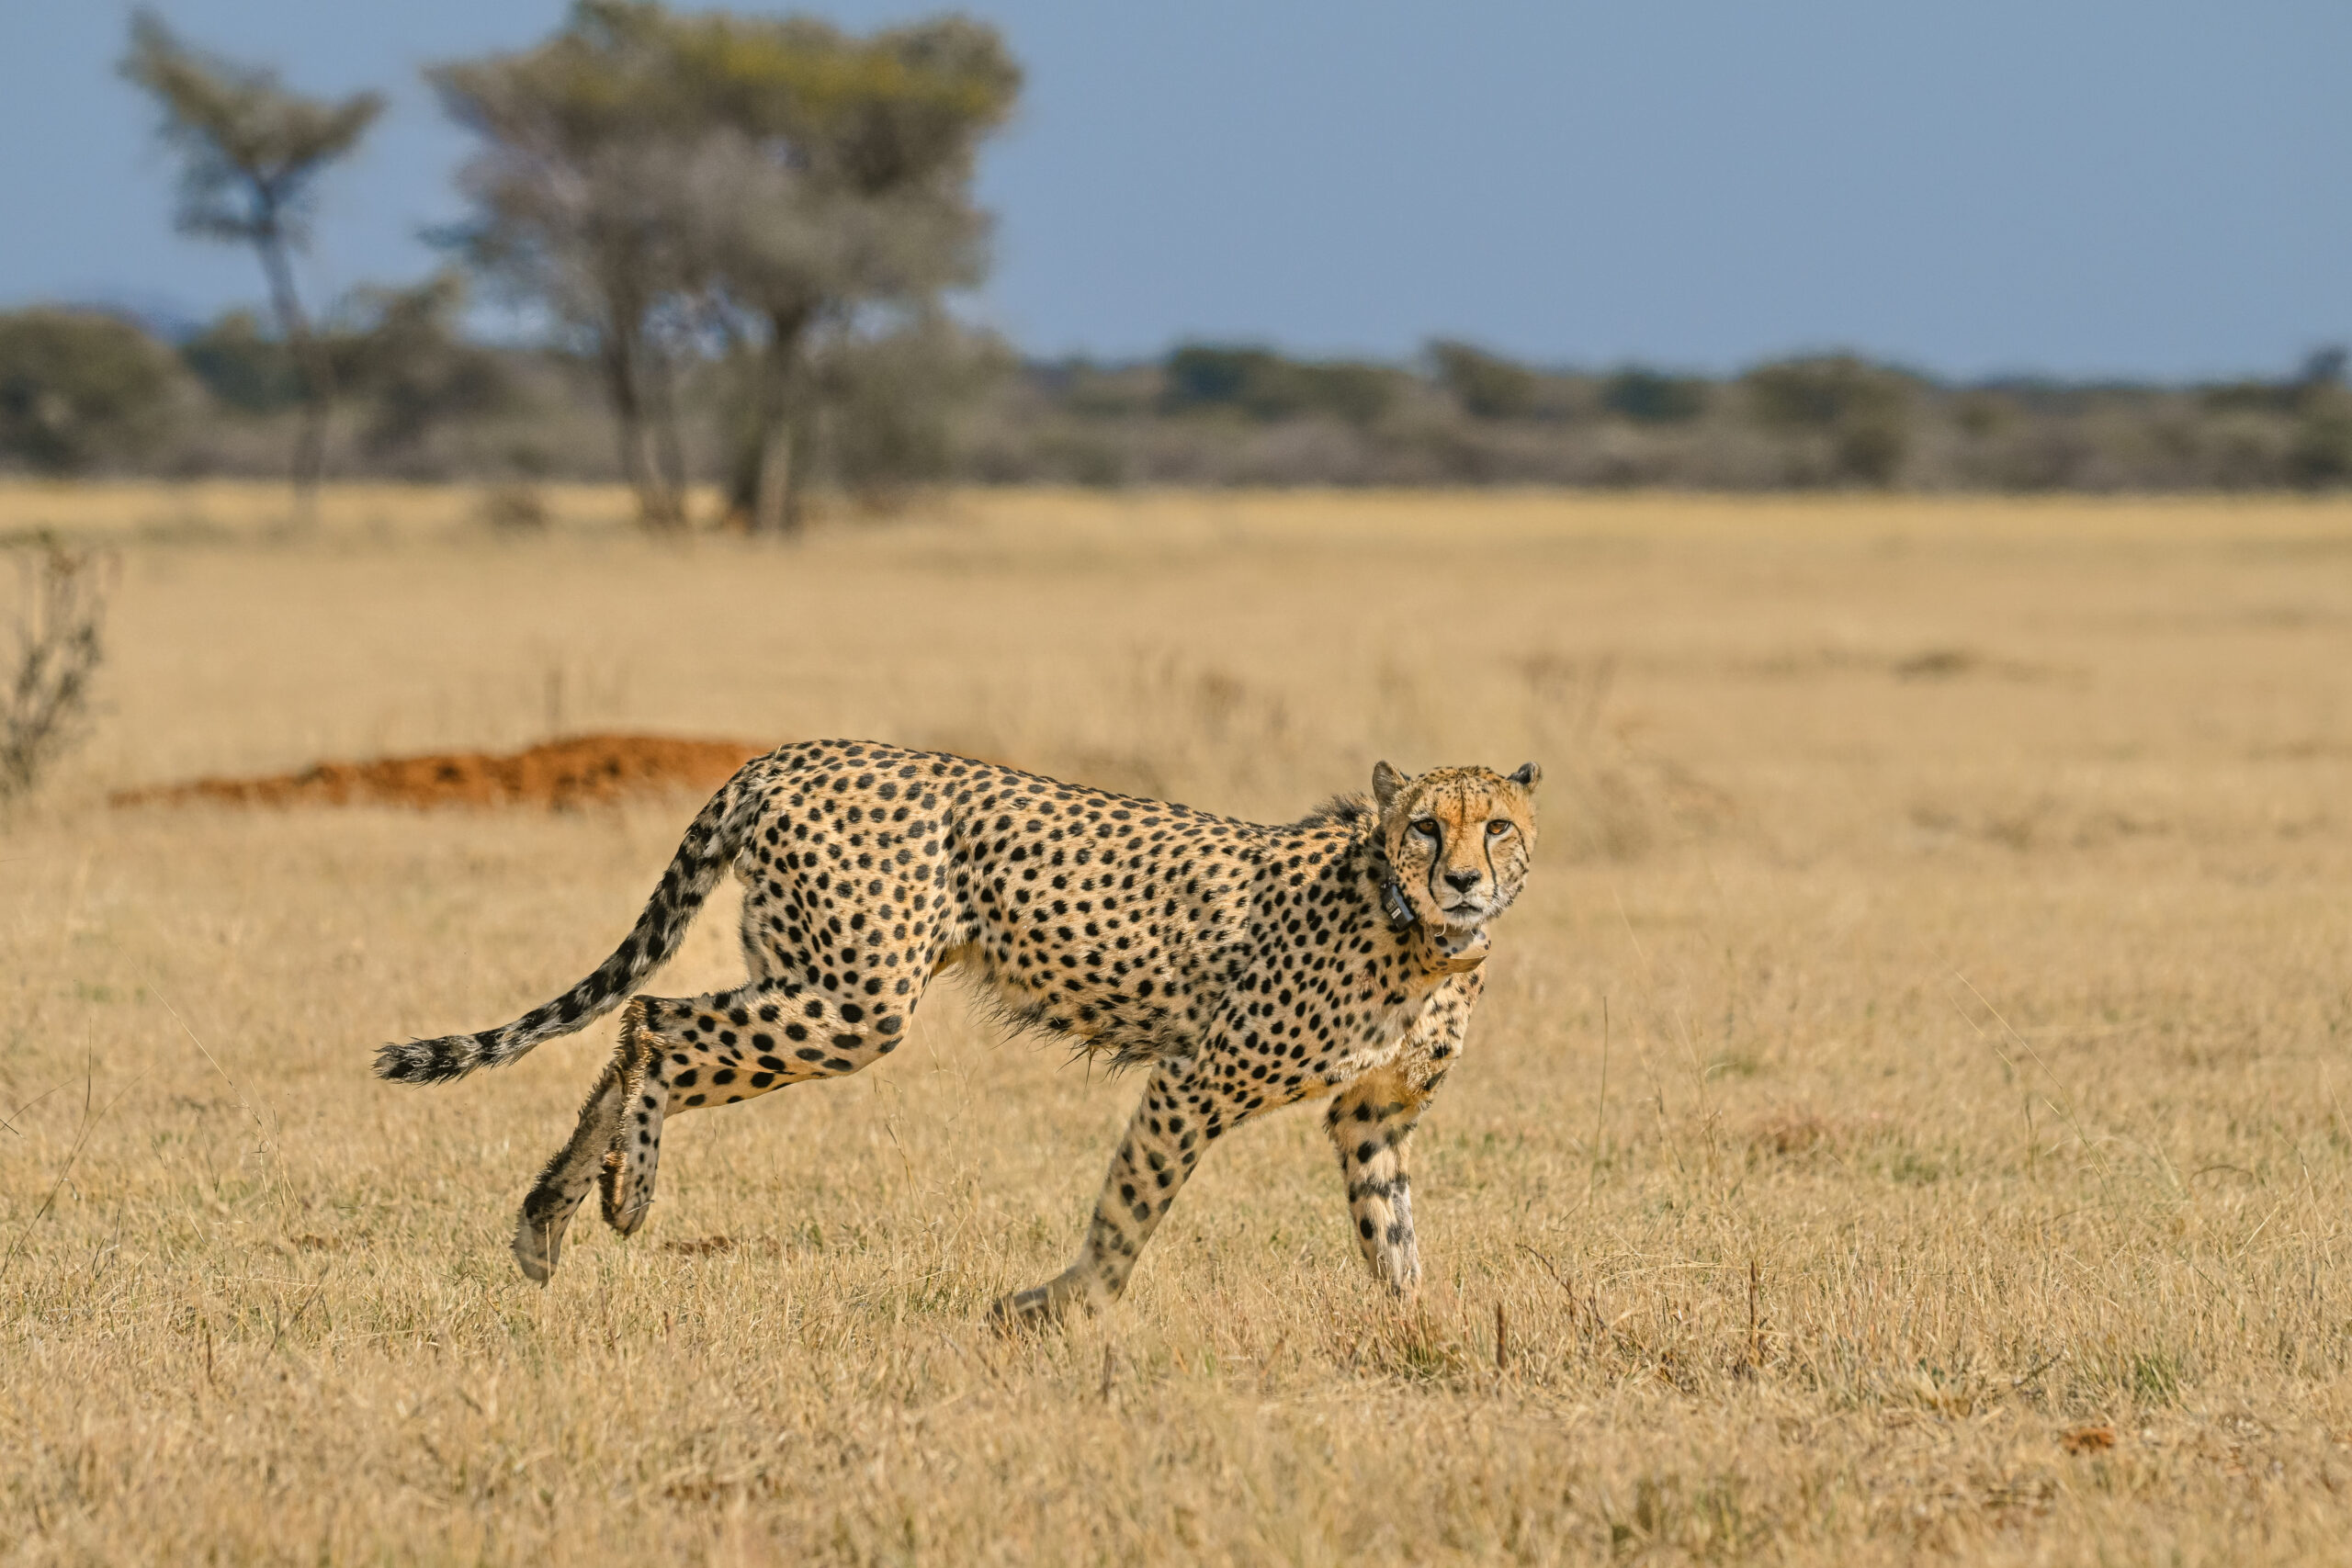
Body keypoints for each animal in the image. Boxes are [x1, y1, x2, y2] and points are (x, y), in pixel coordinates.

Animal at [376, 739, 1541, 1325]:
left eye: (1498, 827)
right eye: (1425, 826)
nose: (1463, 878)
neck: (1422, 938)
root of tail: (795, 749)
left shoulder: (1369, 1119)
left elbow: (1391, 1239)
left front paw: (1419, 1330)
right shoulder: (1194, 1082)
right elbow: (1127, 1217)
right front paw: (1056, 1311)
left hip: (813, 977)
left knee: (636, 1030)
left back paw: (549, 1215)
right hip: (854, 1002)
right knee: (652, 1017)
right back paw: (627, 1193)